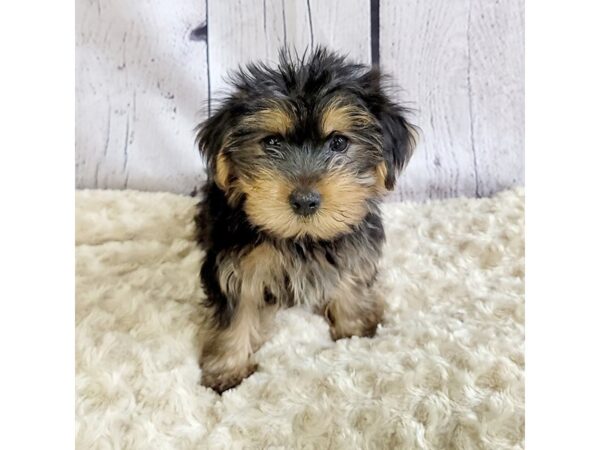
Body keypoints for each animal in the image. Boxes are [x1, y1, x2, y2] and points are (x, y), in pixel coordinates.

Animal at [195, 47, 414, 392]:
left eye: (339, 142)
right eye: (272, 142)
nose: (305, 200)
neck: (300, 237)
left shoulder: (352, 244)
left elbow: (350, 279)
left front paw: (354, 327)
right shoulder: (234, 263)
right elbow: (236, 311)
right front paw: (227, 368)